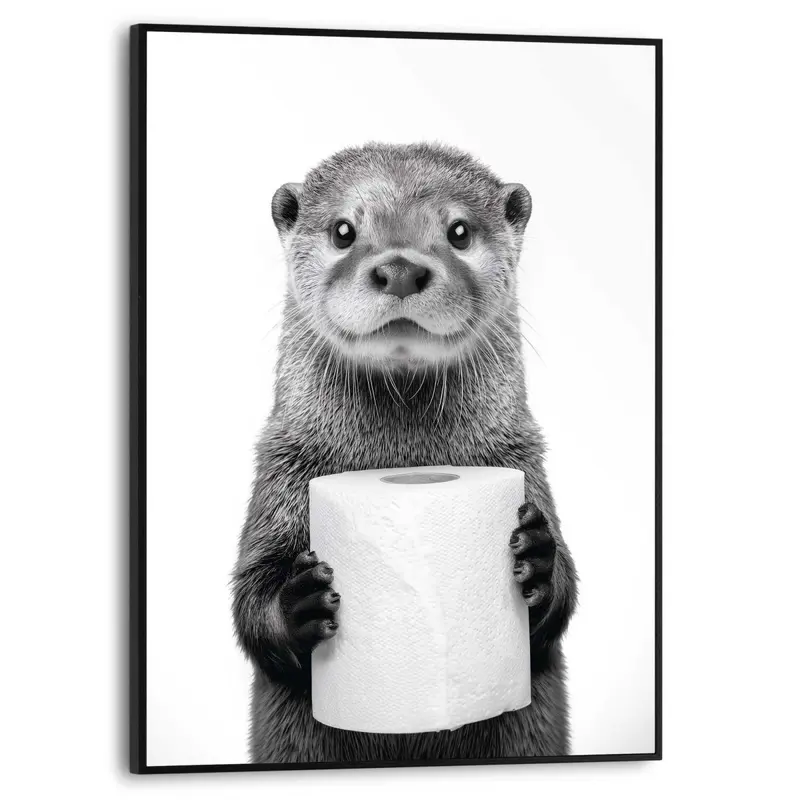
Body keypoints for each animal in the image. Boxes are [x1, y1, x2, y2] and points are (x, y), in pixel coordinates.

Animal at [232, 142, 577, 764]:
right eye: (343, 230)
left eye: (459, 231)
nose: (399, 269)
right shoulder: (281, 468)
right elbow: (250, 599)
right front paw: (300, 602)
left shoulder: (522, 459)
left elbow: (558, 608)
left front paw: (539, 558)